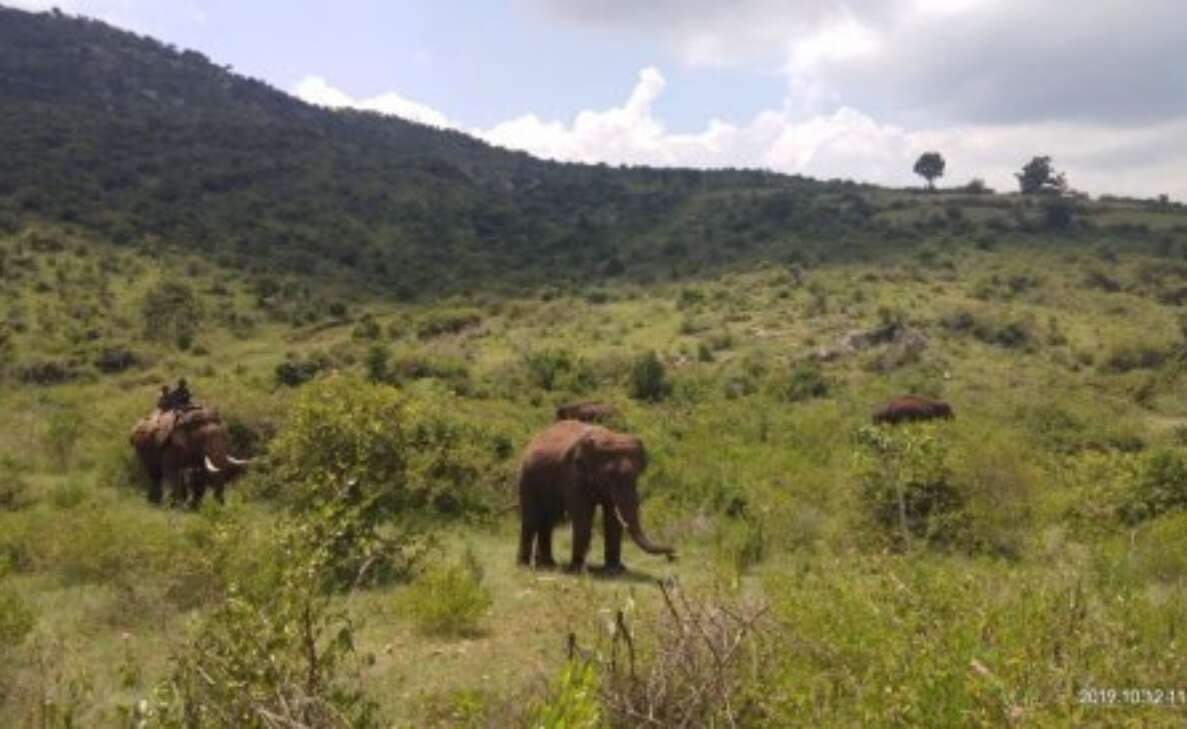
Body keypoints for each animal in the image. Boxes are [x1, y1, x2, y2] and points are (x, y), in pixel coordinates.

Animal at [517, 420, 674, 575]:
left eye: (636, 475)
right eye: (610, 476)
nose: (672, 555)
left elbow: (612, 517)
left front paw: (614, 570)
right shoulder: (574, 475)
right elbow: (583, 514)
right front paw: (578, 570)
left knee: (548, 519)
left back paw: (547, 565)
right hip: (526, 478)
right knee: (531, 519)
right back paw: (526, 566)